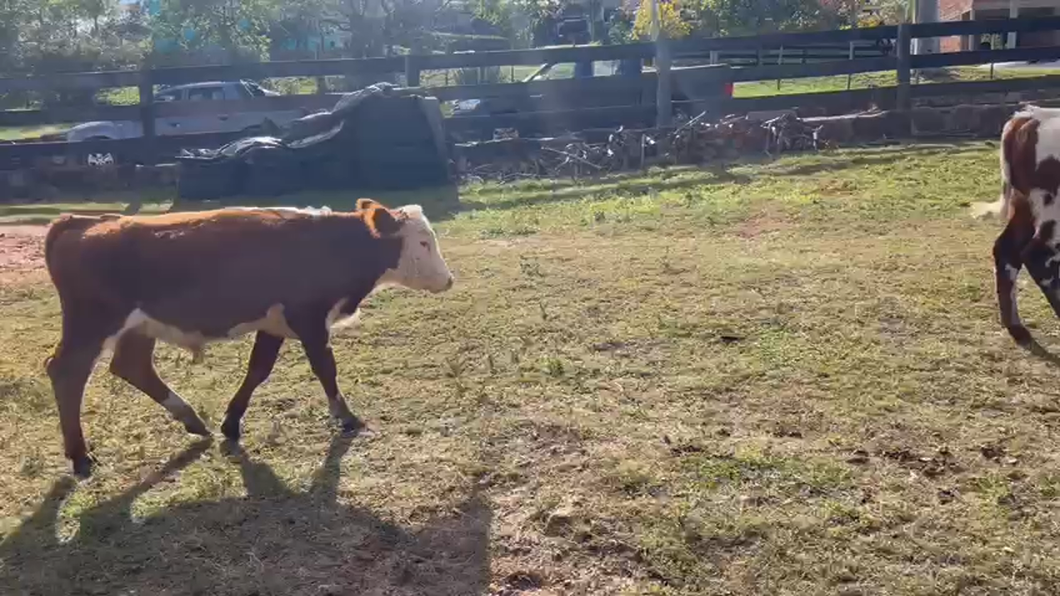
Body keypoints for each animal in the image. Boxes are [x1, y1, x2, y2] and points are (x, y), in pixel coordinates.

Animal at [44, 197, 455, 475]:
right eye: (422, 242)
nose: (449, 279)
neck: (327, 244)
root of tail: (80, 222)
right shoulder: (308, 319)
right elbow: (326, 368)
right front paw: (347, 417)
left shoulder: (273, 325)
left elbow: (258, 371)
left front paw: (231, 423)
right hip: (91, 325)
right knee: (66, 373)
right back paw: (80, 456)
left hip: (138, 328)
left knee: (133, 367)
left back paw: (192, 420)